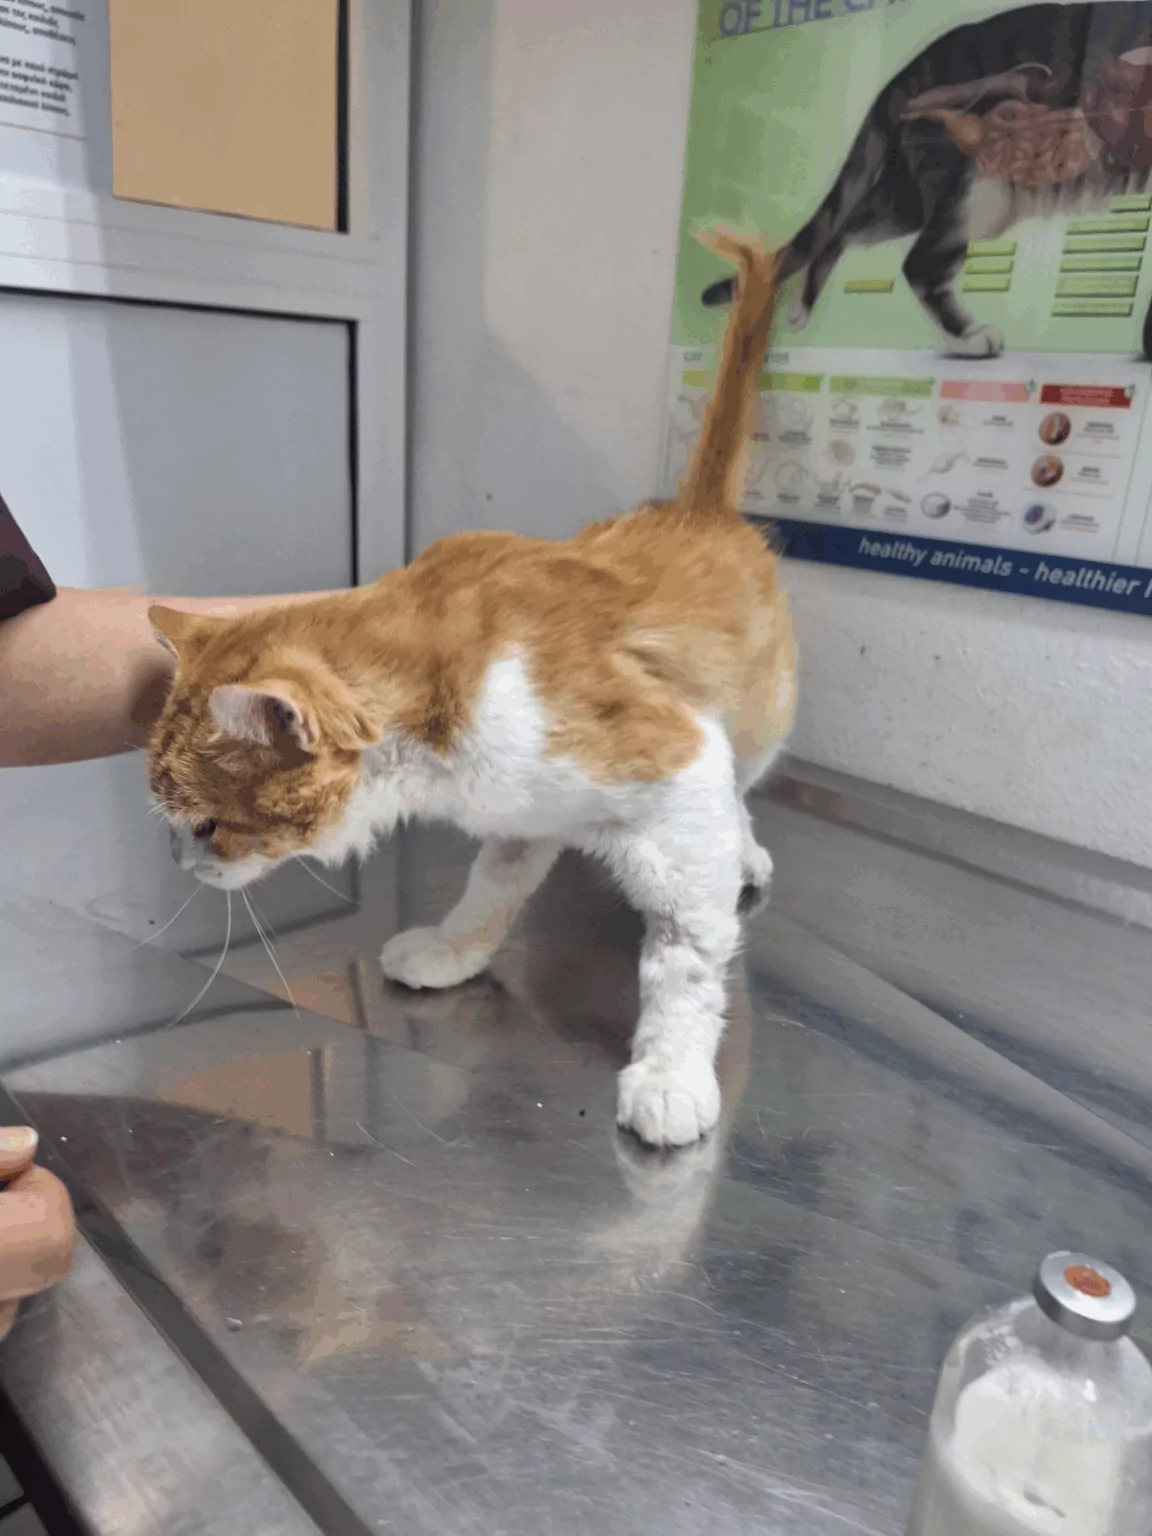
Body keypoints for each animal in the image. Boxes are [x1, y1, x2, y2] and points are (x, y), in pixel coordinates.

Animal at [147, 230, 796, 1149]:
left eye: (205, 825)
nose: (178, 862)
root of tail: (696, 510)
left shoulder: (675, 761)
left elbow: (687, 954)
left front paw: (671, 1074)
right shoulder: (526, 810)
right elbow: (490, 887)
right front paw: (452, 952)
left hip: (756, 727)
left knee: (741, 794)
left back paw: (746, 852)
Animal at [702, 2, 1152, 359]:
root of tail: (913, 67)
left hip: (905, 199)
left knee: (842, 229)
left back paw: (800, 305)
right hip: (975, 190)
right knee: (919, 263)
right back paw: (969, 338)